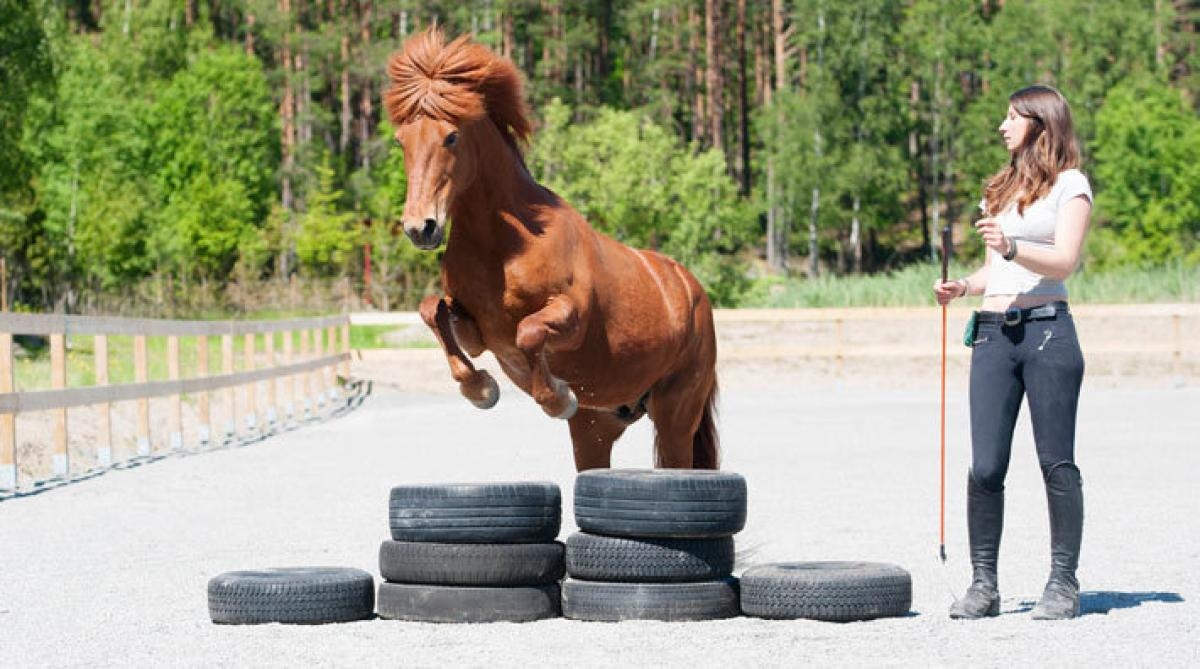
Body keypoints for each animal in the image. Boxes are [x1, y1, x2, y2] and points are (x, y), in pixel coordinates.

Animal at [386, 30, 720, 472]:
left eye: (451, 136)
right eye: (402, 141)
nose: (419, 227)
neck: (503, 248)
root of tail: (692, 290)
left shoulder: (571, 318)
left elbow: (528, 332)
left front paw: (558, 398)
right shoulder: (477, 332)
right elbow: (432, 311)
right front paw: (481, 389)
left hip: (675, 416)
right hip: (597, 428)